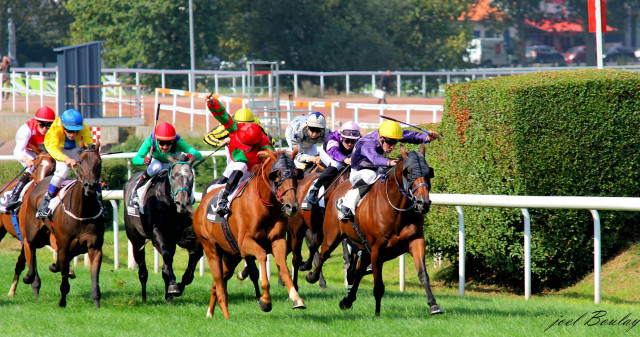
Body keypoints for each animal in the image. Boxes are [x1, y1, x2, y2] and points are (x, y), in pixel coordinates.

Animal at [19, 143, 104, 306]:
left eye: (99, 162)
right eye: (80, 162)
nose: (90, 186)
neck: (82, 212)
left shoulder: (94, 247)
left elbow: (95, 278)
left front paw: (97, 303)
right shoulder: (65, 245)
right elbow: (64, 278)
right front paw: (62, 302)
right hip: (32, 231)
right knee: (30, 247)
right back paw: (29, 277)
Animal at [124, 152, 204, 302]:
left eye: (191, 177)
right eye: (173, 176)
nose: (182, 203)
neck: (170, 205)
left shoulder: (182, 234)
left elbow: (195, 252)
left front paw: (180, 284)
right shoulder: (157, 232)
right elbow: (167, 255)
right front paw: (173, 286)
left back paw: (168, 296)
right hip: (136, 238)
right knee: (142, 268)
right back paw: (144, 297)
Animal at [192, 148, 304, 318]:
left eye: (295, 175)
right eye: (277, 175)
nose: (292, 206)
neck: (265, 206)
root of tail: (201, 204)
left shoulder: (278, 240)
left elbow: (284, 268)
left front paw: (296, 298)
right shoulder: (245, 243)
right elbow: (262, 255)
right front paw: (265, 300)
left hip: (231, 257)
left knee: (217, 285)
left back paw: (210, 313)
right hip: (211, 248)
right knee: (220, 285)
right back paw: (226, 318)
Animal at [308, 145, 442, 316]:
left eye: (428, 172)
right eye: (409, 172)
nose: (422, 203)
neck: (396, 211)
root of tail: (337, 188)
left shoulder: (415, 240)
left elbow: (423, 274)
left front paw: (433, 304)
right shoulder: (377, 248)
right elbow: (378, 285)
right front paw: (377, 313)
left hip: (364, 247)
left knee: (358, 272)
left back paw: (347, 300)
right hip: (332, 235)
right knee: (324, 254)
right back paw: (312, 276)